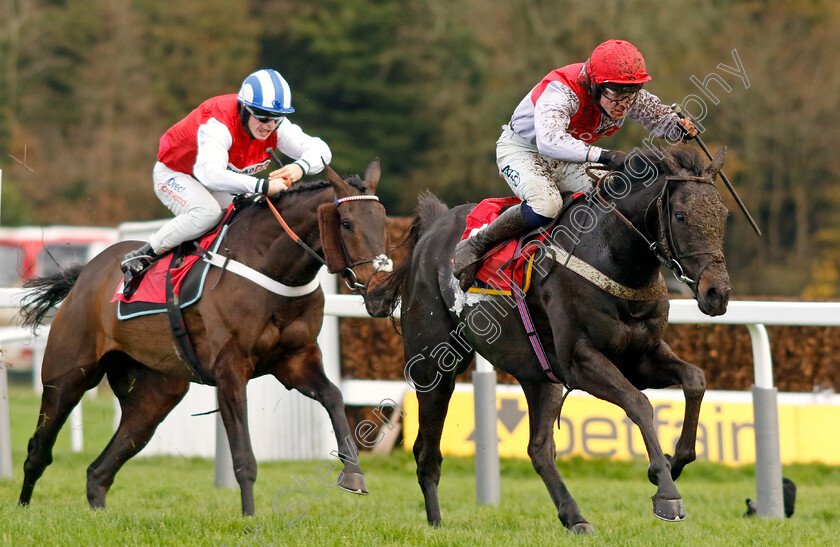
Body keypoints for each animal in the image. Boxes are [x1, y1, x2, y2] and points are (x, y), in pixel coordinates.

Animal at [16, 159, 390, 520]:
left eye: (385, 221)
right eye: (347, 224)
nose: (381, 294)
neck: (270, 266)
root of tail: (84, 275)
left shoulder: (294, 360)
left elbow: (334, 396)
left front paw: (354, 474)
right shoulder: (230, 370)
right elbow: (243, 455)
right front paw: (249, 518)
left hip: (154, 396)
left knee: (99, 470)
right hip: (69, 374)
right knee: (39, 448)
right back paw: (23, 510)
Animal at [370, 147, 732, 536]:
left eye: (723, 215)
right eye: (681, 216)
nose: (718, 293)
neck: (611, 255)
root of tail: (434, 228)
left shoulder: (641, 357)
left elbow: (695, 379)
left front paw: (674, 461)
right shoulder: (580, 361)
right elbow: (638, 403)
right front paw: (666, 491)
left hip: (538, 373)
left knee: (539, 449)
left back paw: (575, 517)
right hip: (433, 365)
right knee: (427, 451)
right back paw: (436, 523)